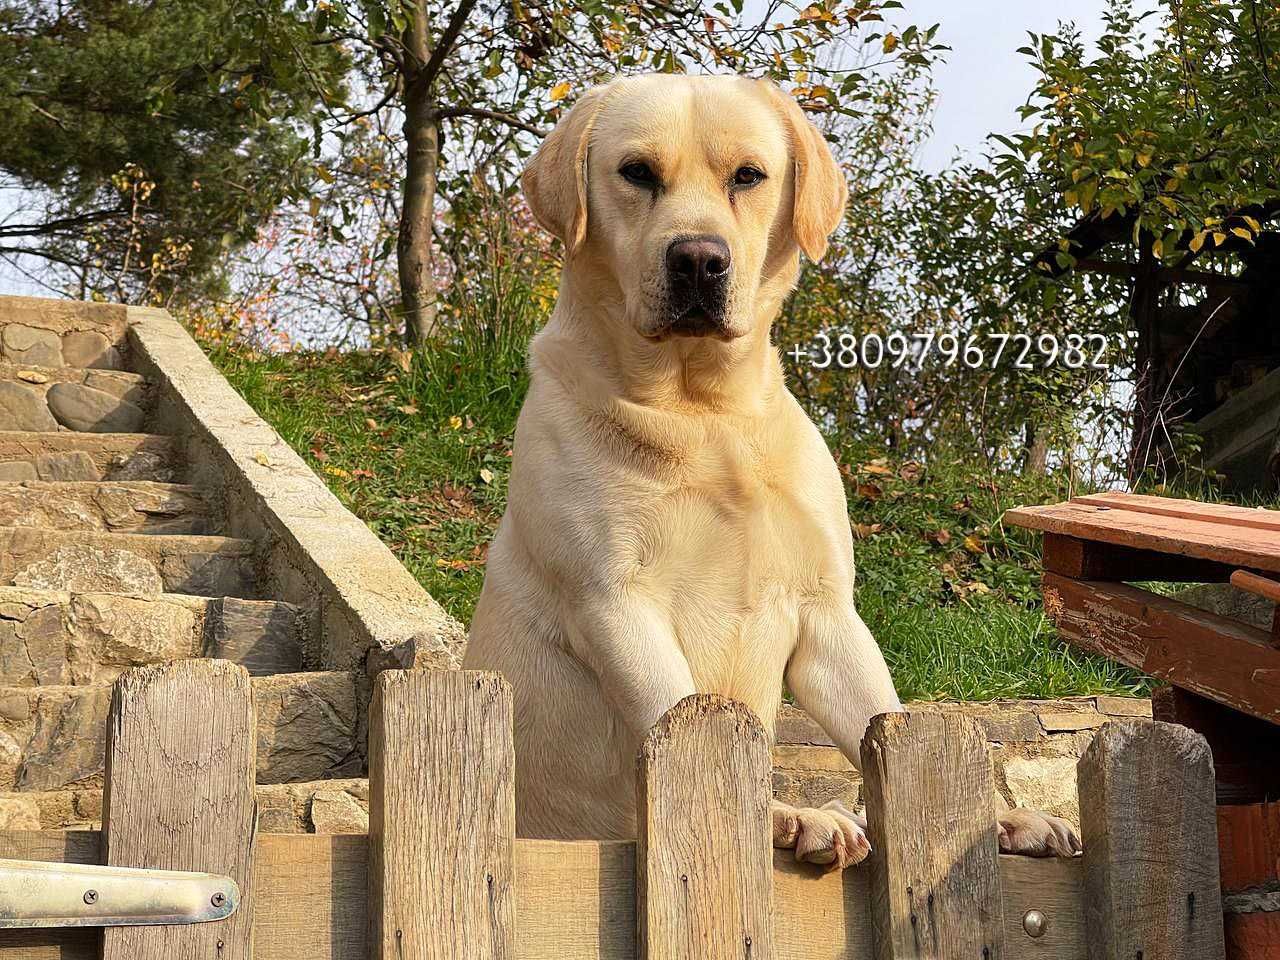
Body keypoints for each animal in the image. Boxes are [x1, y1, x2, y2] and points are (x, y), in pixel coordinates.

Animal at [460, 75, 1080, 870]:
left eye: (748, 176)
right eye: (637, 172)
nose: (698, 259)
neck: (704, 413)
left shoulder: (825, 613)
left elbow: (884, 721)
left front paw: (993, 817)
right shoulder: (613, 603)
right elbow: (690, 725)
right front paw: (786, 812)